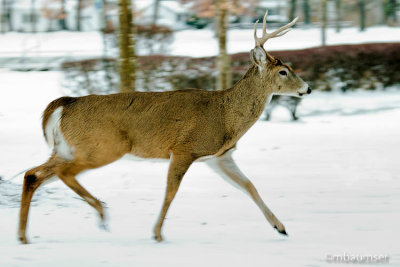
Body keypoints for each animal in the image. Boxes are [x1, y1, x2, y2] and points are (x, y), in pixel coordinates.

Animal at [18, 10, 312, 245]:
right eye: (284, 71)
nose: (308, 88)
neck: (225, 115)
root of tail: (62, 105)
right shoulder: (184, 148)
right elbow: (171, 192)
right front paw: (157, 233)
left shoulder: (218, 156)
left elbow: (249, 186)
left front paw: (280, 227)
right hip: (104, 146)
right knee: (62, 173)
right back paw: (101, 213)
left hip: (67, 148)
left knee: (33, 174)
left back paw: (23, 235)